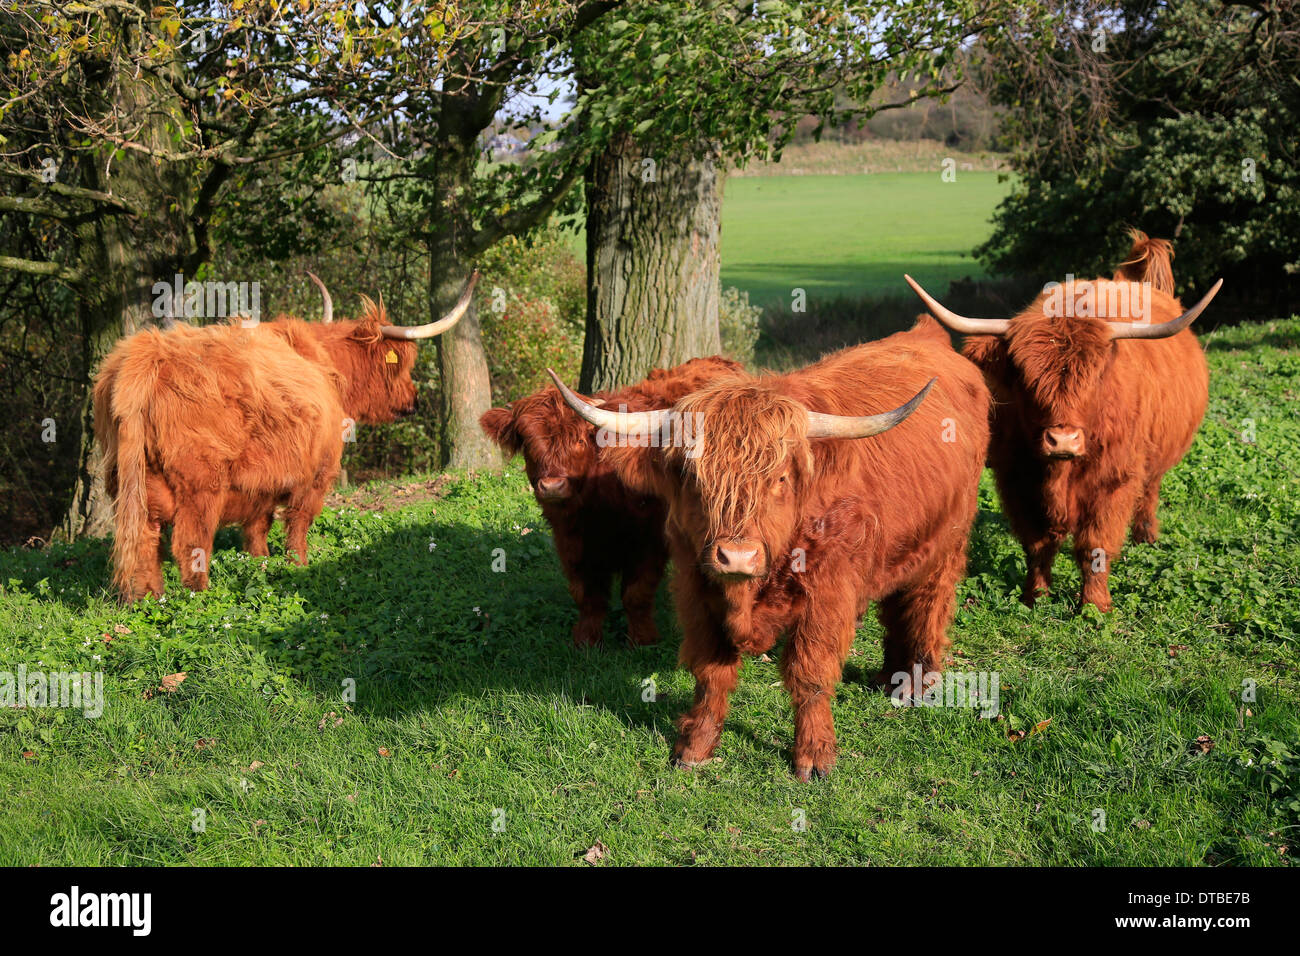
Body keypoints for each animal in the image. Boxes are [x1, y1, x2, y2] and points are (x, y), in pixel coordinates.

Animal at [94, 270, 478, 598]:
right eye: (403, 365)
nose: (414, 401)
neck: (327, 367)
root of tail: (150, 354)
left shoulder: (260, 484)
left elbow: (257, 530)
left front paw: (261, 565)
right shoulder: (317, 474)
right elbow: (297, 526)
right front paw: (299, 567)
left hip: (132, 483)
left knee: (145, 543)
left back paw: (149, 599)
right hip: (201, 485)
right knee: (189, 544)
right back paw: (200, 598)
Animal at [478, 358, 743, 650]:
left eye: (579, 439)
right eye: (527, 441)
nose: (552, 486)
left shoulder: (650, 540)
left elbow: (636, 593)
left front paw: (642, 640)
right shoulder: (570, 542)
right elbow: (586, 595)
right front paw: (586, 640)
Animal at [546, 317, 982, 780]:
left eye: (780, 479)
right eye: (691, 476)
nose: (736, 557)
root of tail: (925, 335)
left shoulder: (826, 595)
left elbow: (810, 673)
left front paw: (814, 756)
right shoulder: (695, 588)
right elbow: (710, 672)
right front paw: (695, 746)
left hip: (948, 541)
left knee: (929, 602)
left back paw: (920, 681)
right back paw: (889, 677)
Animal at [904, 227, 1216, 608]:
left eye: (1095, 375)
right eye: (1025, 376)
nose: (1062, 440)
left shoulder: (1112, 480)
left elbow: (1095, 545)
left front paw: (1095, 605)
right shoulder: (1017, 477)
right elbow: (1038, 542)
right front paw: (1034, 596)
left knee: (1150, 490)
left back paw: (1146, 536)